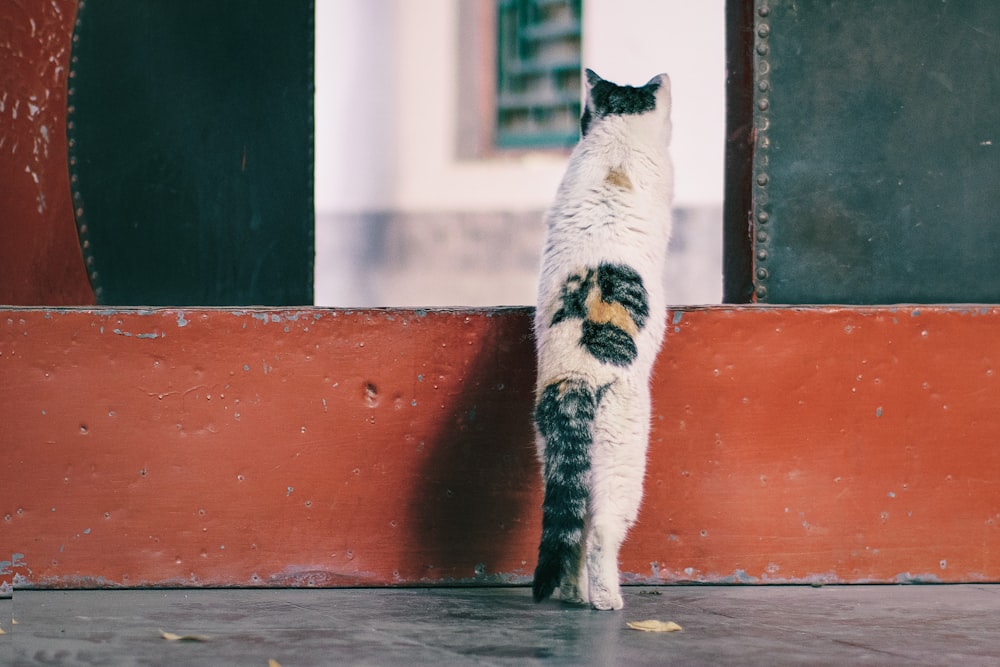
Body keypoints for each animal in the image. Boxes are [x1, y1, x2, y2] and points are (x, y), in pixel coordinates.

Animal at [532, 69, 672, 612]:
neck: (618, 140)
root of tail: (574, 376)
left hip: (556, 456)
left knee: (570, 530)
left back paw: (572, 594)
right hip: (623, 460)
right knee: (598, 534)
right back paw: (607, 600)